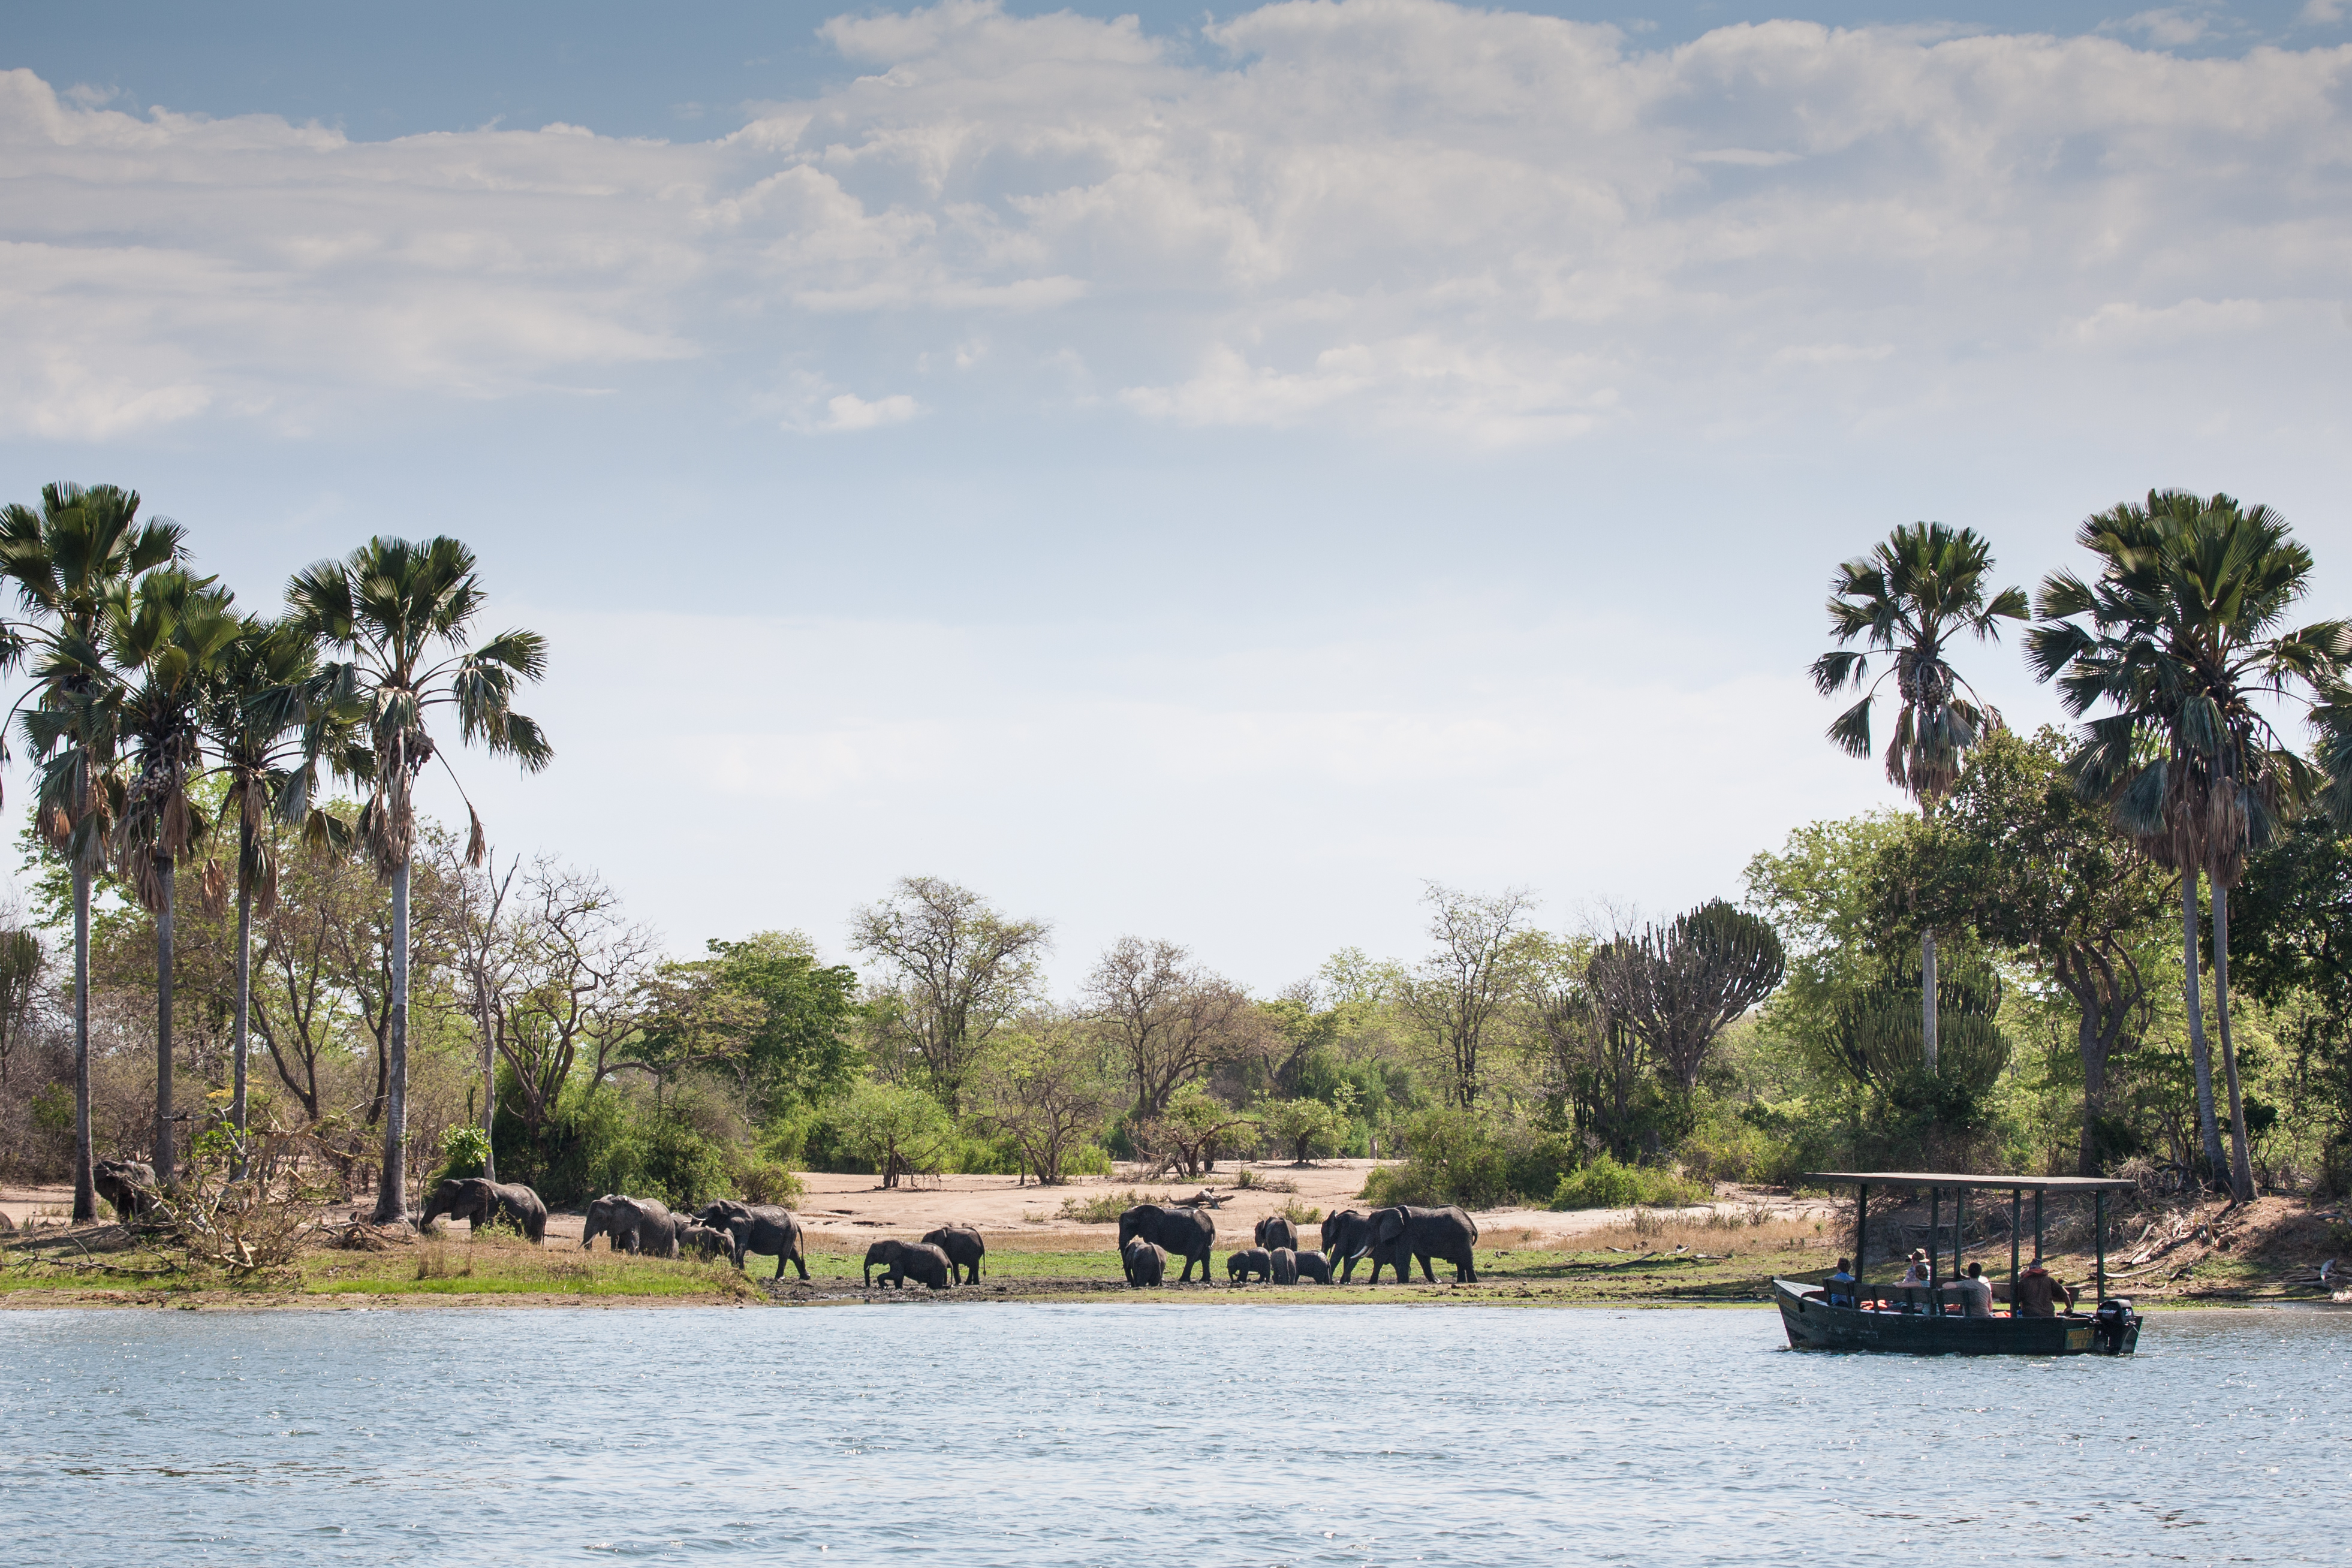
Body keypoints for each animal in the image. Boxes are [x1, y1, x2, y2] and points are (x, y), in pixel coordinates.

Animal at [421, 1184, 548, 1241]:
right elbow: (475, 1226)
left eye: (443, 1197)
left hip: (538, 1217)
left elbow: (486, 1225)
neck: (463, 1182)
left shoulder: (490, 1205)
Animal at [691, 1213, 814, 1278]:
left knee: (785, 1254)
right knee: (793, 1254)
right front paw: (742, 1273)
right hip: (789, 1233)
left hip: (789, 1232)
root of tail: (796, 1222)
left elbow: (740, 1248)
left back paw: (780, 1278)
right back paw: (805, 1277)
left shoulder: (745, 1229)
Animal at [1119, 1213, 1213, 1278]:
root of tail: (1211, 1223)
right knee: (1206, 1256)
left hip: (1197, 1235)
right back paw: (1205, 1280)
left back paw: (1183, 1280)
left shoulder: (1152, 1228)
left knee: (1192, 1256)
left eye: (1128, 1227)